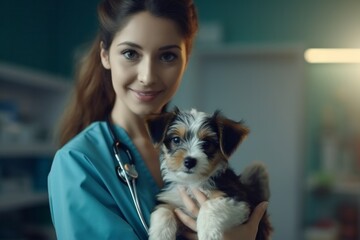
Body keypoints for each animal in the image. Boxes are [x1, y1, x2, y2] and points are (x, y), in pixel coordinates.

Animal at [145, 108, 272, 240]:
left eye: (206, 143)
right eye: (176, 140)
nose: (189, 161)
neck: (192, 181)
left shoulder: (239, 199)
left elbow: (209, 204)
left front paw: (208, 233)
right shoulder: (170, 198)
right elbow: (162, 210)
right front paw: (160, 234)